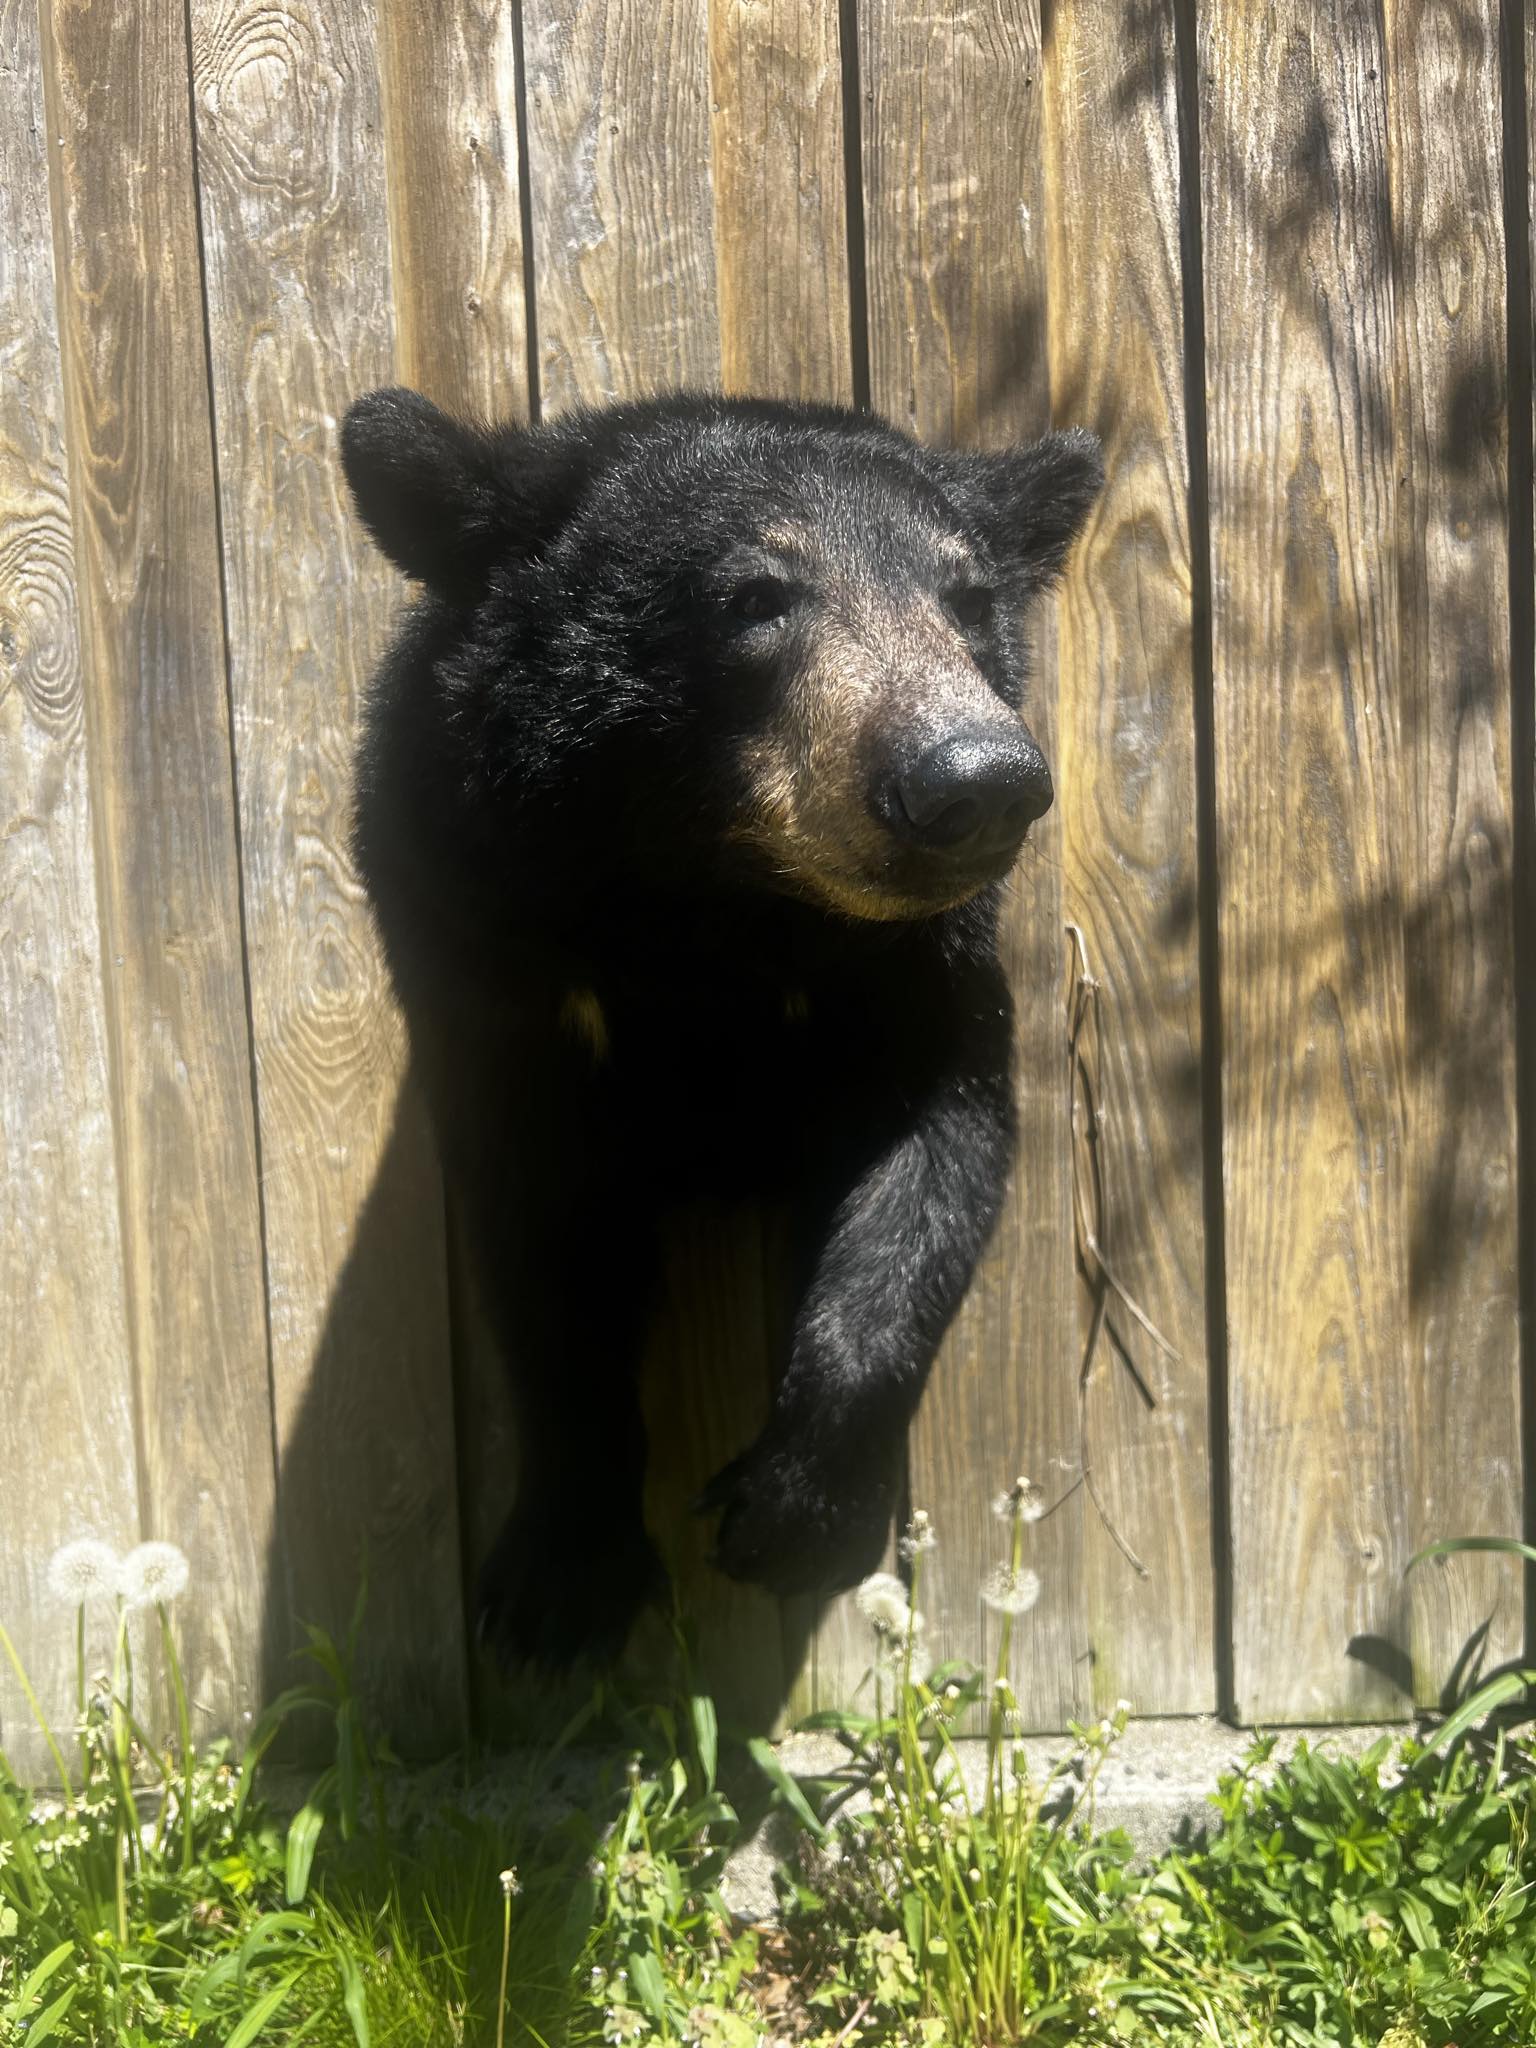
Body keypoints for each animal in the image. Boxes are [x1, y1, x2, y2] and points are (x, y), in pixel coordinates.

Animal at [342, 387, 1097, 1662]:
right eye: (755, 596)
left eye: (966, 598)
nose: (976, 779)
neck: (718, 903)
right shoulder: (484, 940)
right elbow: (544, 1239)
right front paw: (560, 1583)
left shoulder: (926, 965)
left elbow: (935, 1160)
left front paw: (795, 1516)